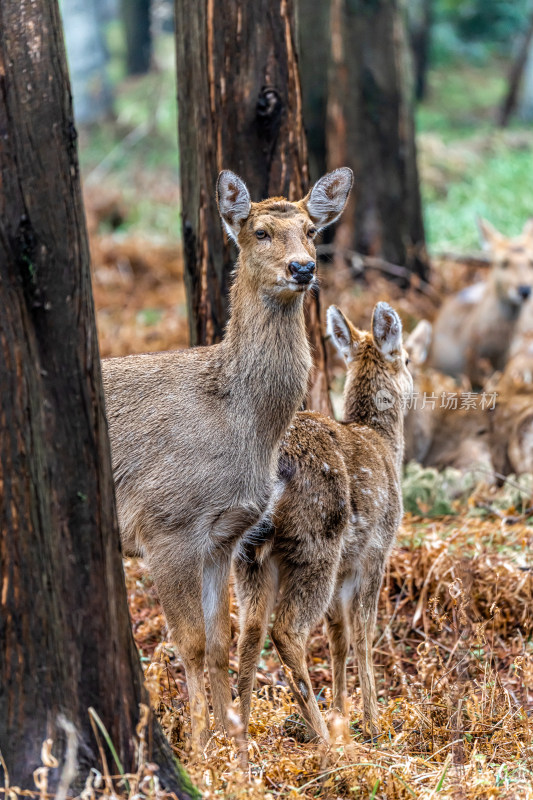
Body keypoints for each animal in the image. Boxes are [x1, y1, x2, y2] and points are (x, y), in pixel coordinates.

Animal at [103, 167, 354, 744]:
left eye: (311, 230)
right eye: (260, 232)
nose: (303, 268)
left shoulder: (224, 537)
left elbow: (221, 643)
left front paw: (232, 738)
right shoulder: (165, 525)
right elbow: (191, 644)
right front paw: (200, 747)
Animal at [234, 300, 412, 744]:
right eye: (407, 358)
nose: (412, 373)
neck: (383, 442)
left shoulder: (348, 563)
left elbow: (338, 638)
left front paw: (342, 713)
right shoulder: (374, 551)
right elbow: (363, 634)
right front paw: (371, 723)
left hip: (250, 556)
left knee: (249, 631)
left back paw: (237, 736)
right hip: (316, 540)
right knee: (286, 631)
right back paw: (322, 738)